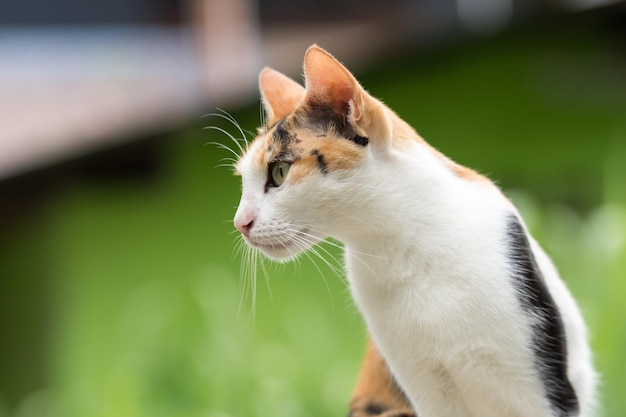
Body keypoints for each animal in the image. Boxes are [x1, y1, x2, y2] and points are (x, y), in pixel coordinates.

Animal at [232, 45, 592, 416]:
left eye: (279, 172)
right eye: (244, 181)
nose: (239, 223)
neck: (403, 251)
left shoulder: (545, 389)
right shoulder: (425, 388)